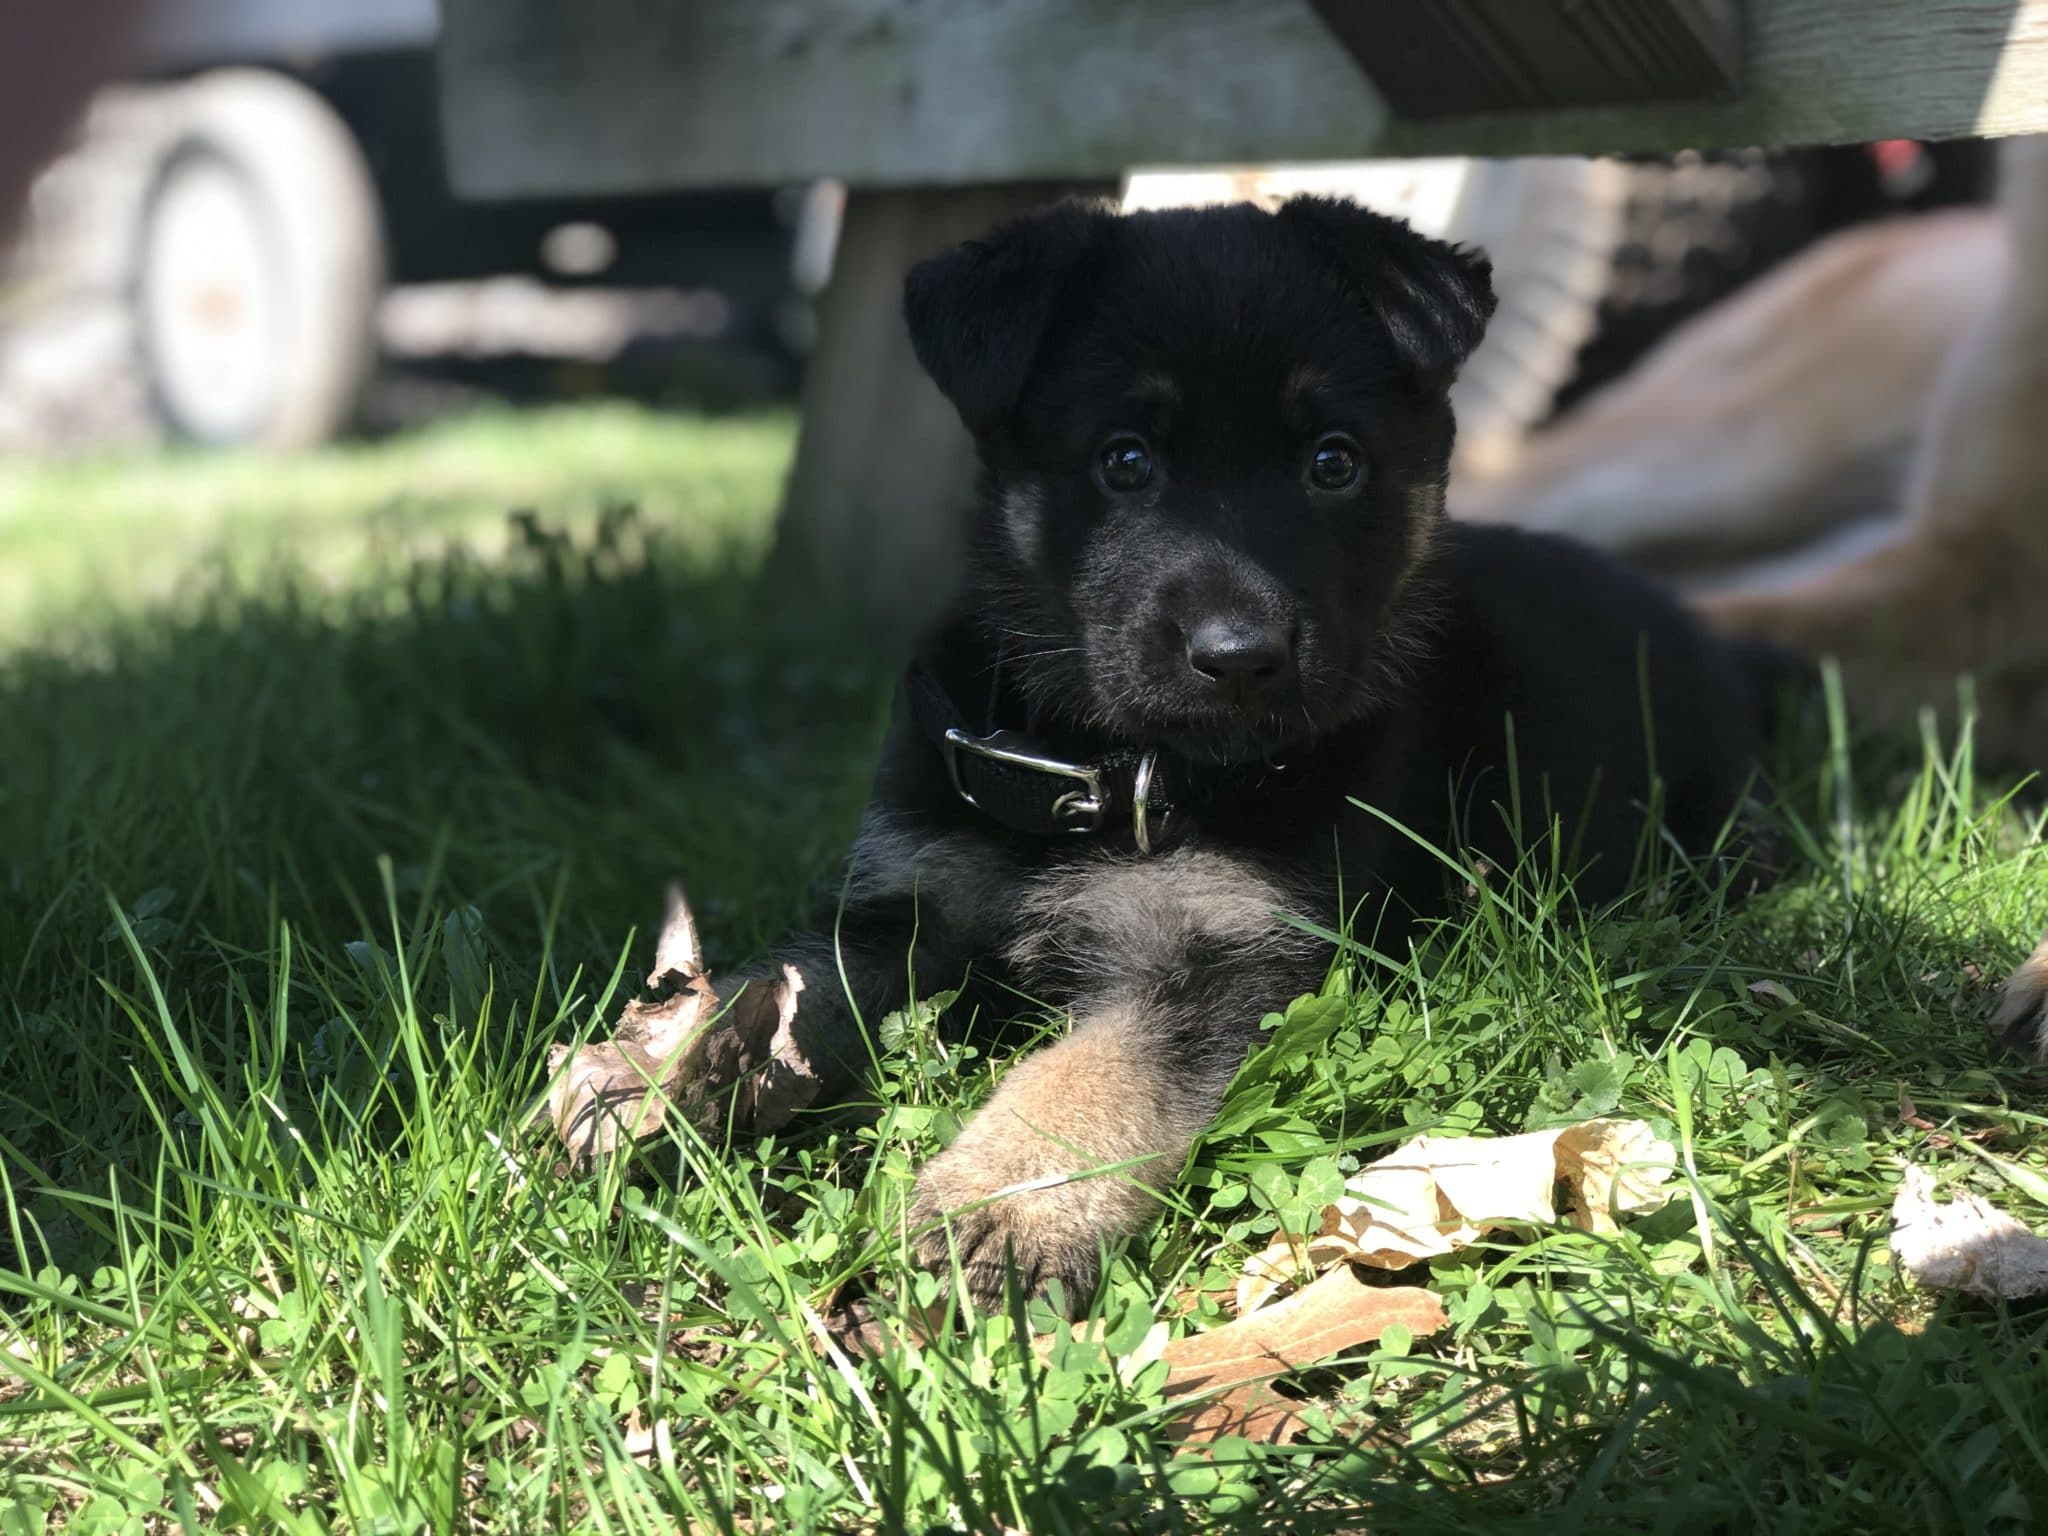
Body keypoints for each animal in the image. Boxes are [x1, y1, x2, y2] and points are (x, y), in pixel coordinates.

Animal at [737, 198, 1777, 1318]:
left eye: (1333, 462)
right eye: (1124, 459)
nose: (1239, 658)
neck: (1105, 772)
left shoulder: (1231, 955)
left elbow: (1095, 1066)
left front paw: (1007, 1200)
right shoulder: (895, 908)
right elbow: (769, 993)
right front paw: (663, 1087)